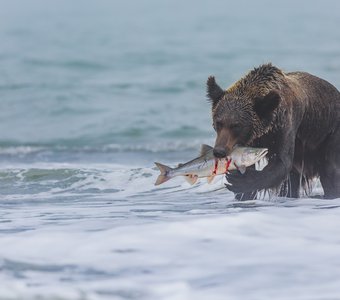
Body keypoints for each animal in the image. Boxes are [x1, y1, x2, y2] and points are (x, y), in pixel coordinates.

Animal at [207, 63, 340, 199]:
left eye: (236, 125)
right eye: (219, 122)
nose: (219, 151)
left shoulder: (286, 126)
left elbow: (281, 162)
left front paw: (238, 181)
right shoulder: (251, 140)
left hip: (329, 133)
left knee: (330, 170)